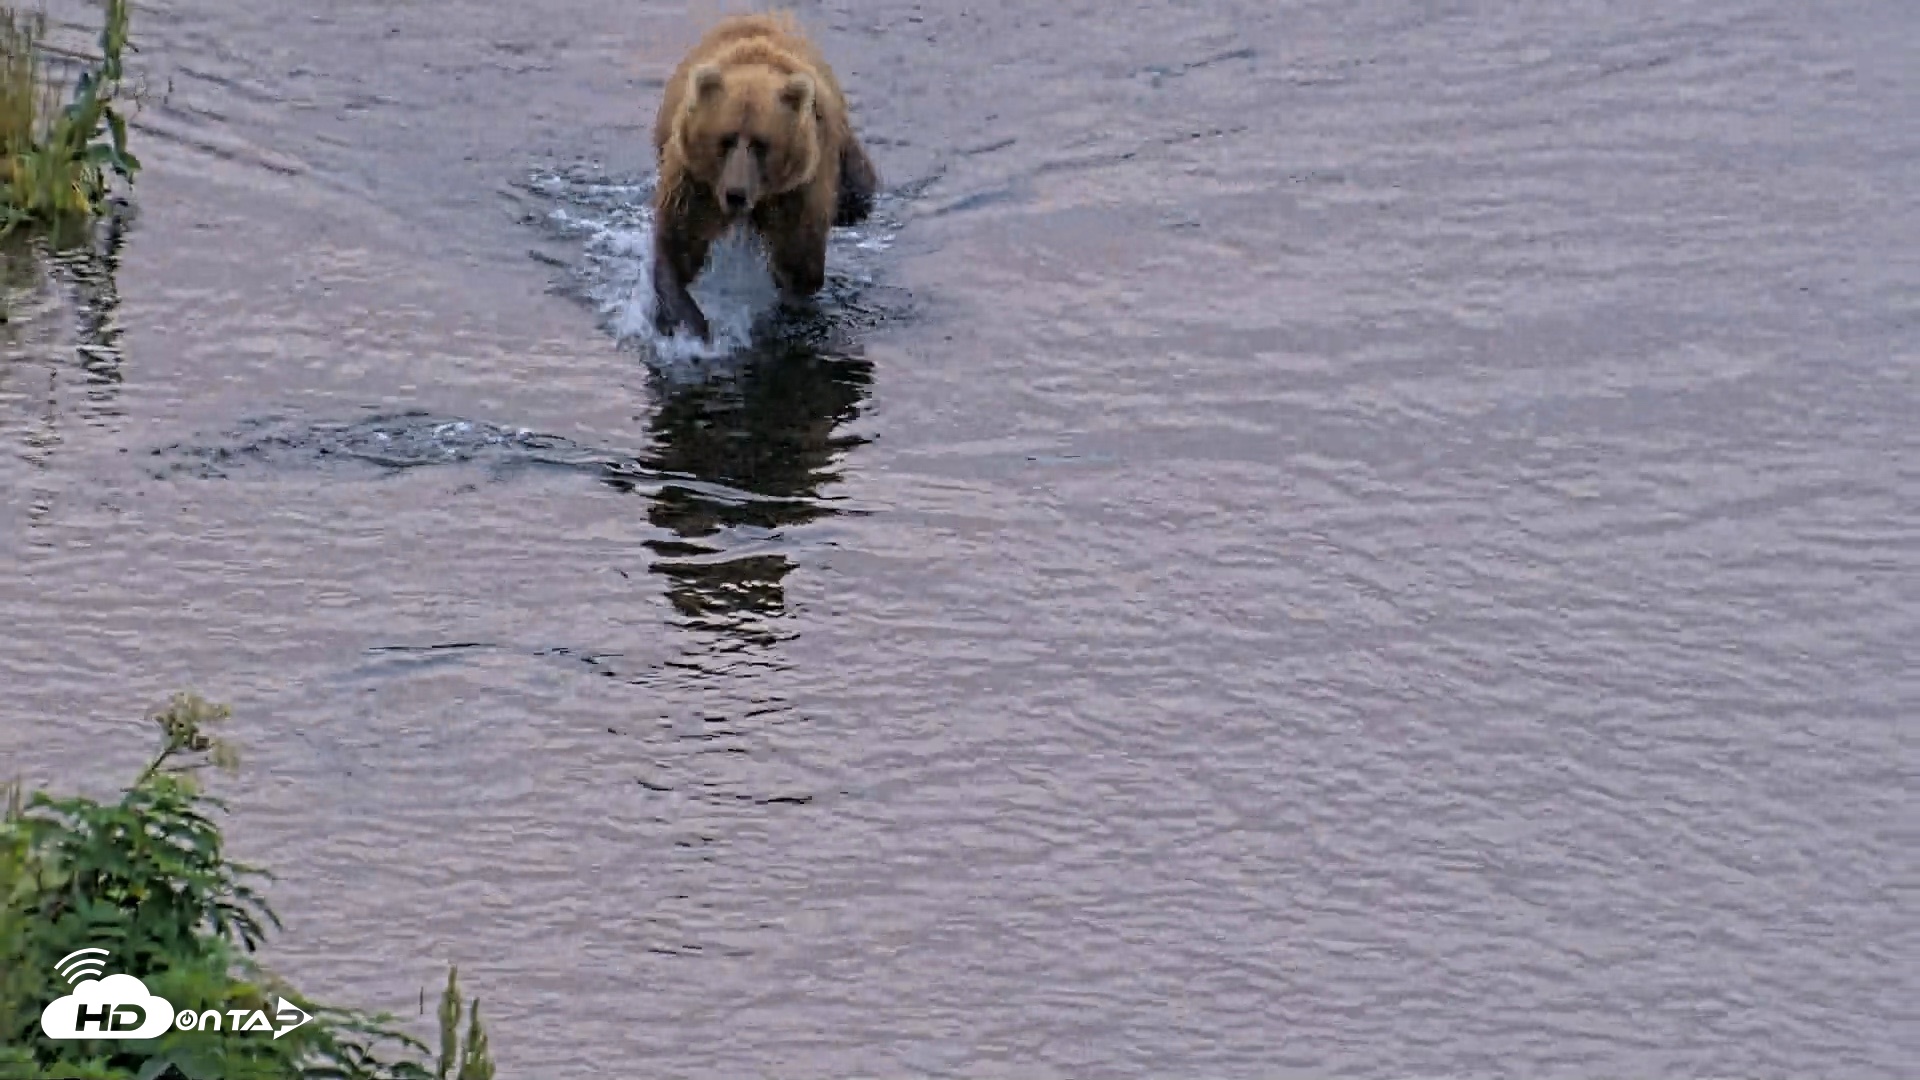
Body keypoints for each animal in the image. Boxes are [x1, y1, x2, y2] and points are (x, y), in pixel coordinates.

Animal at [649, 12, 880, 342]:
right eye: (726, 139)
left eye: (761, 144)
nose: (736, 194)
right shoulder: (695, 182)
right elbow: (678, 243)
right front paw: (687, 321)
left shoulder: (797, 192)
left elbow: (798, 260)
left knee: (858, 190)